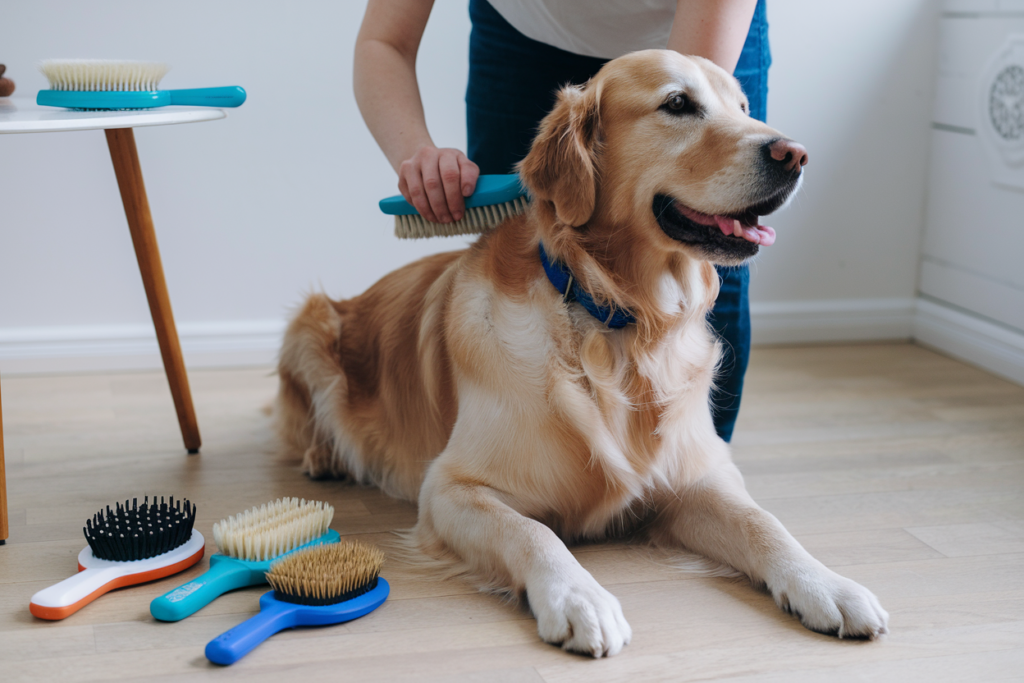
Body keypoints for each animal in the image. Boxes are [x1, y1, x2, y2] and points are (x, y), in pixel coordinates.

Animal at [278, 49, 888, 655]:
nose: (795, 154)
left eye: (743, 108)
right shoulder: (451, 489)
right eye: (678, 104)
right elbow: (534, 531)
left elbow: (764, 523)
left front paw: (827, 584)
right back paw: (324, 456)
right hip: (309, 325)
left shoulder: (693, 478)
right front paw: (579, 598)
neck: (621, 322)